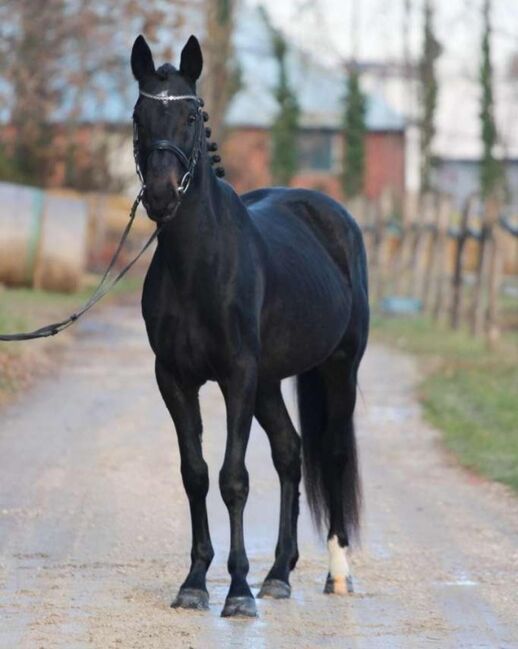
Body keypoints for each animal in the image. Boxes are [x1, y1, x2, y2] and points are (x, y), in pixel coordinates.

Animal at [131, 33, 369, 618]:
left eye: (192, 115)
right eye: (140, 116)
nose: (162, 195)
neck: (199, 265)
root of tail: (332, 214)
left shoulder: (237, 375)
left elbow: (233, 478)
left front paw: (236, 592)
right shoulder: (174, 378)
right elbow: (195, 474)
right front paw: (196, 581)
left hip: (338, 368)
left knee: (331, 453)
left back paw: (336, 573)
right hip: (269, 381)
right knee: (289, 453)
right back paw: (278, 574)